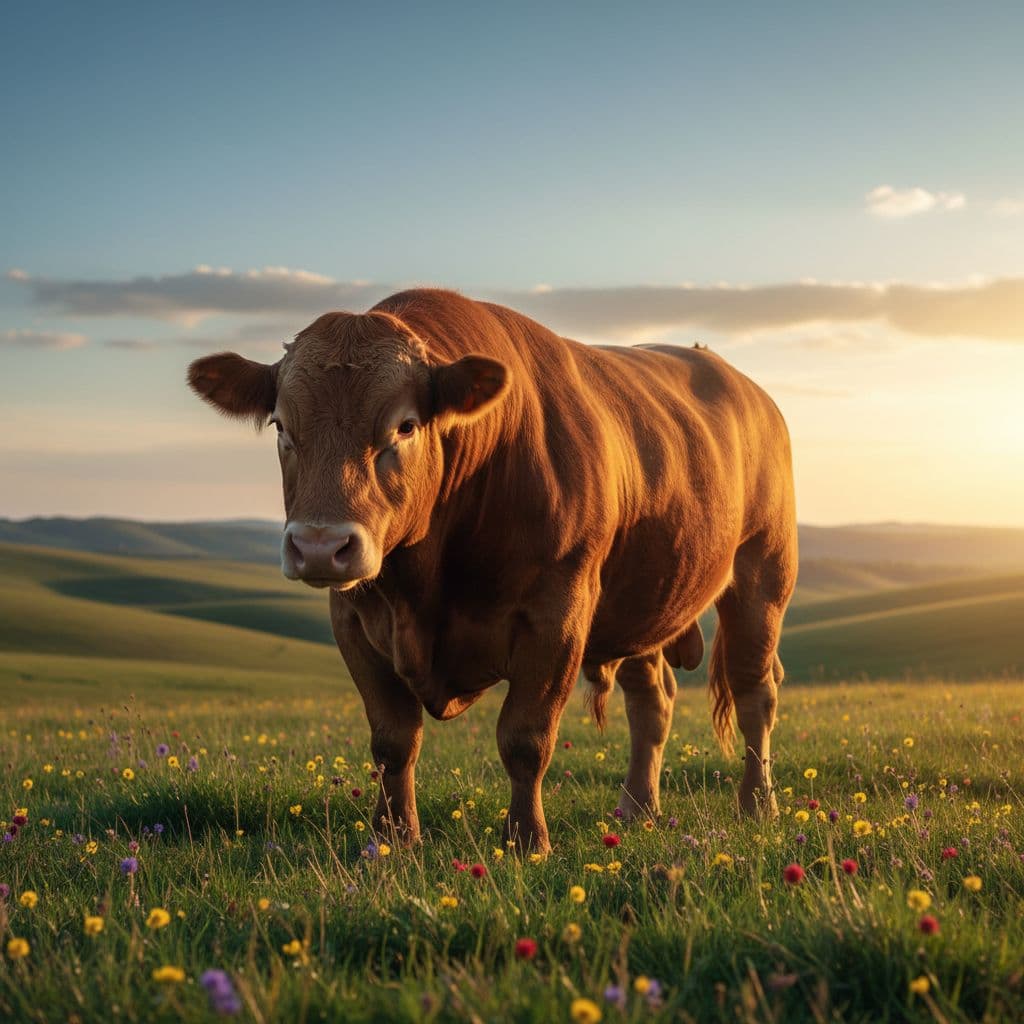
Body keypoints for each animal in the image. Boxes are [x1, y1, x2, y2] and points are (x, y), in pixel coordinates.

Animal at [188, 289, 797, 852]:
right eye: (280, 426)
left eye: (405, 426)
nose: (319, 546)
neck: (424, 583)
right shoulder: (354, 620)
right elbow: (392, 741)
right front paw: (392, 840)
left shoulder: (557, 616)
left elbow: (525, 738)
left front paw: (527, 841)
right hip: (643, 601)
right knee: (652, 702)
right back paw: (637, 810)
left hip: (763, 578)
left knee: (755, 693)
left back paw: (756, 807)